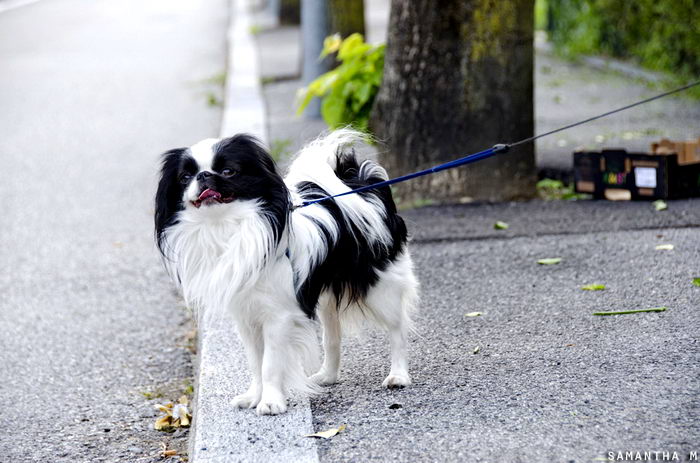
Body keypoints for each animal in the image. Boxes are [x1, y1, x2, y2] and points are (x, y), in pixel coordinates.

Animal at [156, 130, 418, 416]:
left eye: (228, 171)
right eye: (185, 177)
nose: (204, 175)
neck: (227, 229)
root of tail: (362, 184)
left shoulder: (277, 317)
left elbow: (270, 364)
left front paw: (271, 402)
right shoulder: (246, 317)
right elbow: (255, 363)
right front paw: (254, 396)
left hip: (382, 289)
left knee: (398, 330)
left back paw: (398, 376)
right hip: (327, 300)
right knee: (332, 337)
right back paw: (327, 376)